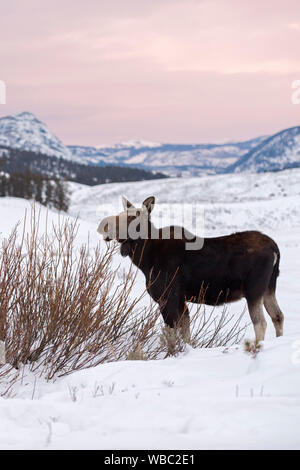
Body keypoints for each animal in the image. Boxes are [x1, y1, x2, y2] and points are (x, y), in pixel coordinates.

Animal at [98, 196, 284, 344]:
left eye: (132, 217)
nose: (105, 227)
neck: (144, 260)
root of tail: (275, 249)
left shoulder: (168, 297)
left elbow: (172, 335)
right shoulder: (181, 299)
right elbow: (186, 333)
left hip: (253, 290)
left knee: (261, 323)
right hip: (269, 288)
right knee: (278, 316)